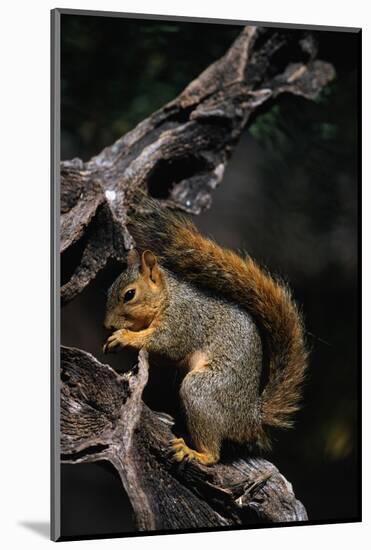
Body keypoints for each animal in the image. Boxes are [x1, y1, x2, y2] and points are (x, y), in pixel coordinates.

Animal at [102, 201, 308, 468]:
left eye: (129, 294)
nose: (107, 325)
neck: (168, 297)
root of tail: (250, 419)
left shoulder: (184, 321)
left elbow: (166, 343)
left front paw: (124, 337)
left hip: (203, 391)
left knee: (213, 455)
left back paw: (195, 453)